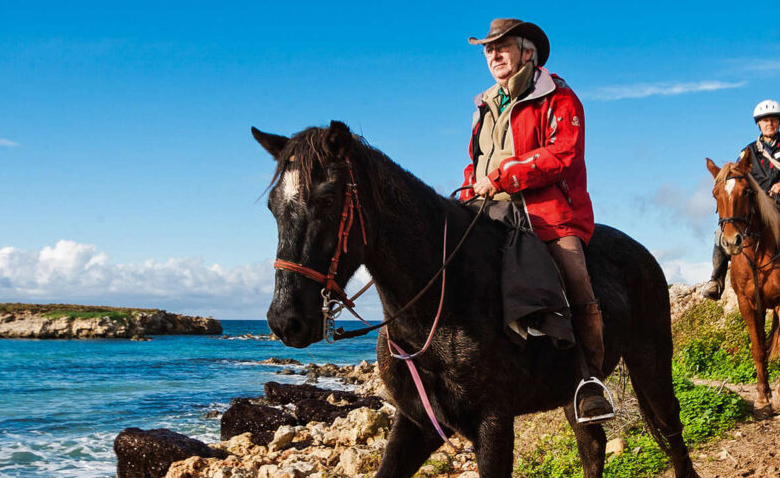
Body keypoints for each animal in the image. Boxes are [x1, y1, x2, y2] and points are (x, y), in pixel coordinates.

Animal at [253, 120, 698, 478]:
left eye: (328, 200)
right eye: (273, 207)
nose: (285, 321)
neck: (437, 305)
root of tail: (642, 253)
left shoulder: (493, 423)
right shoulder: (417, 424)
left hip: (650, 362)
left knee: (672, 432)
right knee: (592, 445)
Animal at [707, 149, 780, 413]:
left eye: (747, 191)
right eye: (715, 194)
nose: (731, 242)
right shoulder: (747, 304)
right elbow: (758, 349)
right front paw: (763, 398)